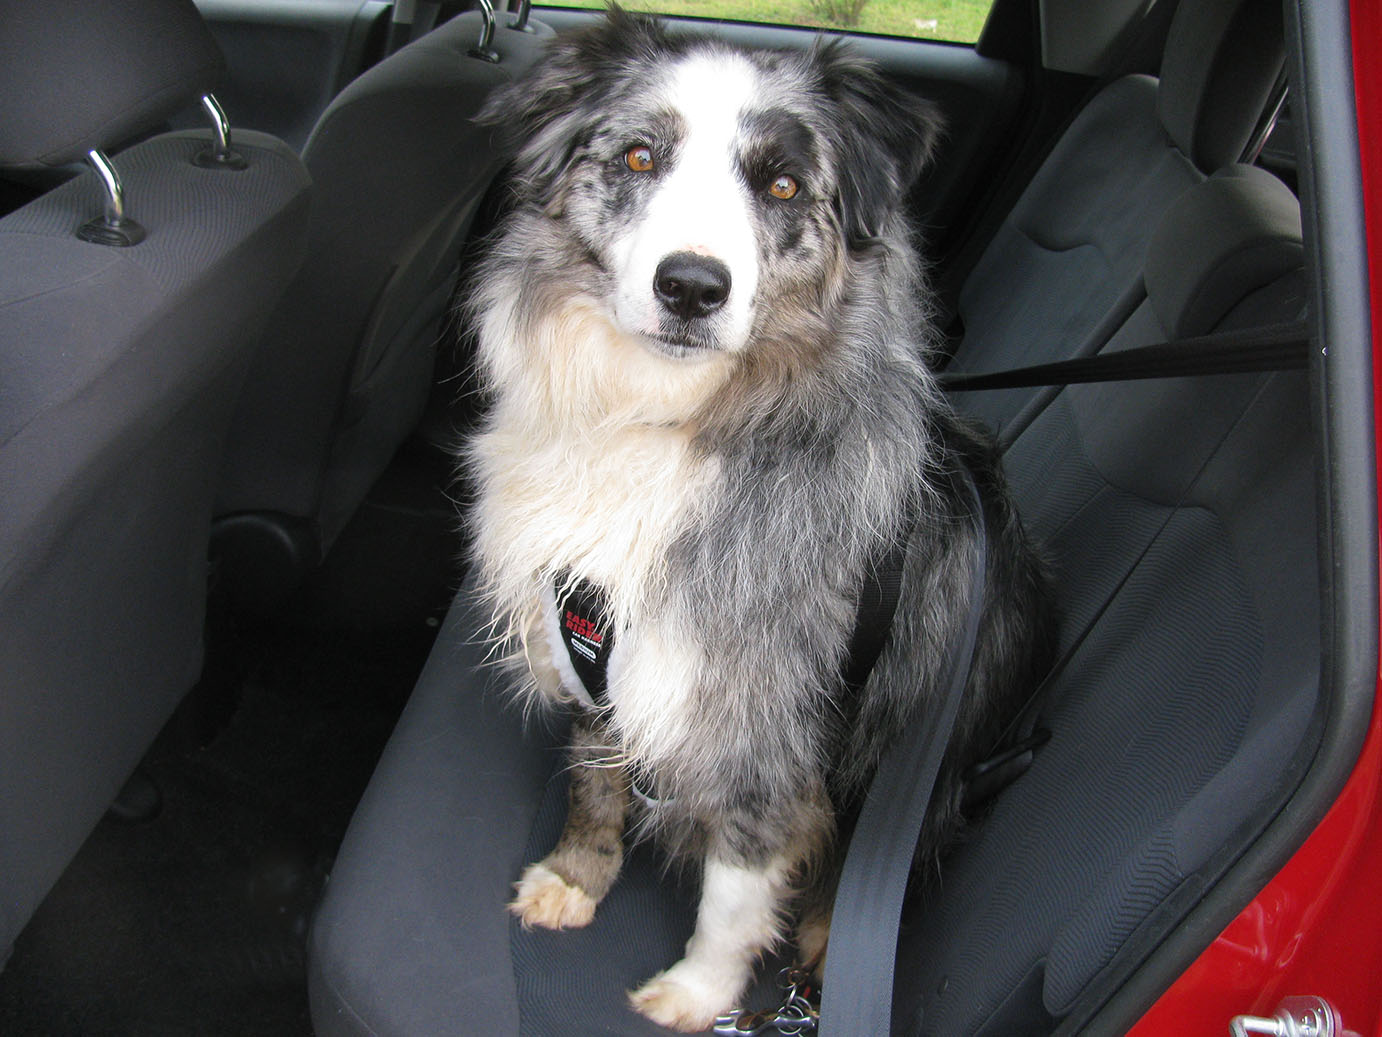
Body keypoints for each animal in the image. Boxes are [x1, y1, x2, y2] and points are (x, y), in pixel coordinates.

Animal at [461, 12, 1044, 1034]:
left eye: (781, 185)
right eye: (640, 156)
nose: (693, 287)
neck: (660, 420)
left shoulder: (762, 729)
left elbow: (734, 891)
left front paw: (697, 993)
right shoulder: (595, 655)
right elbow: (593, 778)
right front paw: (576, 877)